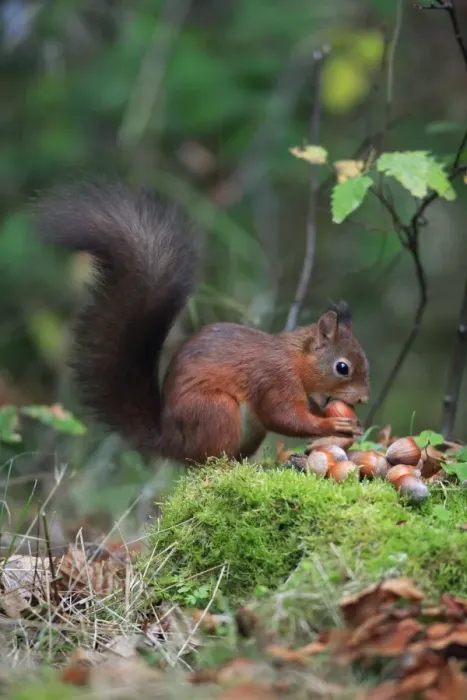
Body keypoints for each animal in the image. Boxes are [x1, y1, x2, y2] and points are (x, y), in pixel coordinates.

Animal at [32, 178, 370, 465]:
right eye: (342, 367)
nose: (364, 399)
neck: (295, 360)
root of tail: (170, 442)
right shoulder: (274, 380)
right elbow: (285, 417)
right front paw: (333, 423)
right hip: (216, 411)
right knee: (208, 461)